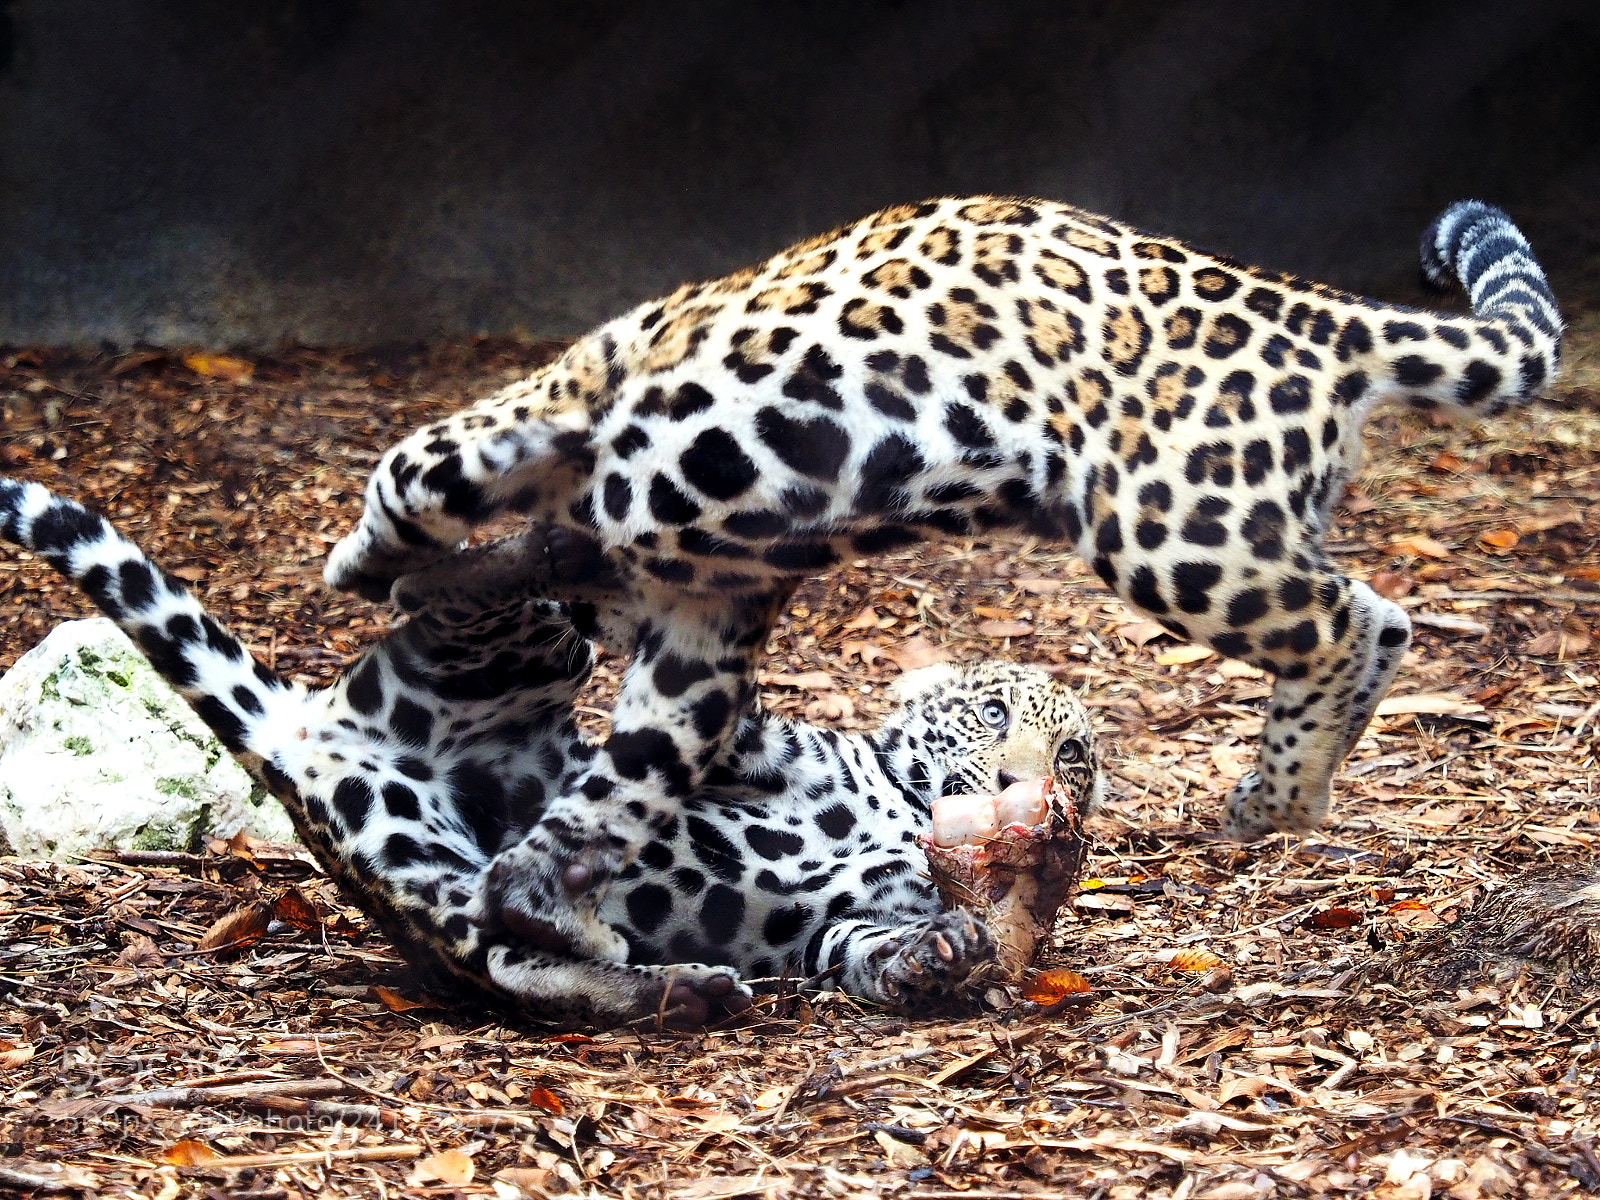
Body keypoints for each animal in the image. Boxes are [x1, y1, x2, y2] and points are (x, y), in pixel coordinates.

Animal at [0, 477, 1100, 1025]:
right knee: (457, 594)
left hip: (421, 874)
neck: (900, 806)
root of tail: (313, 729)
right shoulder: (753, 746)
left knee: (513, 959)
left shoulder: (836, 929)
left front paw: (942, 953)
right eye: (993, 712)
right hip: (517, 658)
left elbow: (866, 947)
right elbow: (699, 723)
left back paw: (674, 989)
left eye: (1075, 757)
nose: (1029, 783)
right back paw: (550, 546)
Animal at [323, 197, 1561, 964]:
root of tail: (1317, 310)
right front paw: (541, 902)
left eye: (1067, 754)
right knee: (1380, 617)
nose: (1028, 785)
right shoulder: (700, 621)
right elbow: (631, 776)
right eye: (990, 721)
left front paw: (369, 561)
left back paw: (1278, 797)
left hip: (1171, 523)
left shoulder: (574, 424)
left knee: (1345, 620)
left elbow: (415, 465)